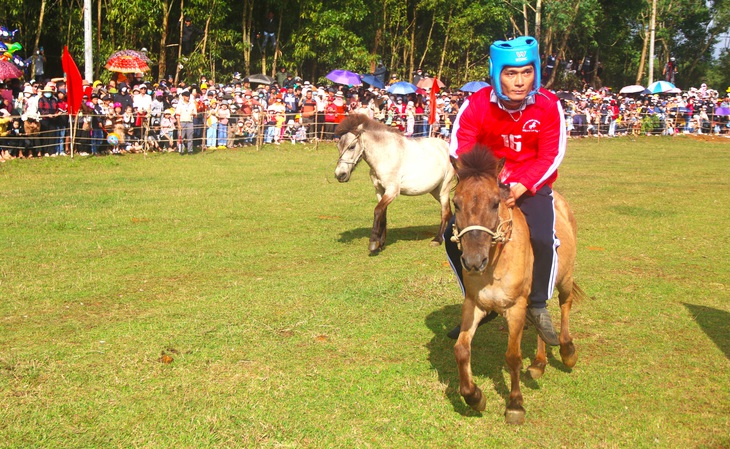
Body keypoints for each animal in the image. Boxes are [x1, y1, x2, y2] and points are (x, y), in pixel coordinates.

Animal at [332, 114, 452, 254]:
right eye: (338, 147)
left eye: (352, 147)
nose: (340, 175)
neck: (385, 155)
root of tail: (447, 146)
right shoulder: (380, 190)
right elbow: (382, 214)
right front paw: (381, 243)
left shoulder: (392, 191)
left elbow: (378, 210)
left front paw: (373, 242)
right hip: (435, 191)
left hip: (444, 189)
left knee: (445, 212)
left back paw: (437, 239)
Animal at [450, 148, 584, 424]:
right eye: (456, 203)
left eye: (495, 202)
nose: (473, 261)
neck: (495, 263)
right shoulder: (474, 304)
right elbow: (461, 350)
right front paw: (474, 397)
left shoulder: (515, 308)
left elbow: (513, 357)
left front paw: (515, 404)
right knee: (541, 317)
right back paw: (539, 363)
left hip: (564, 278)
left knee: (564, 305)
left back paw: (567, 351)